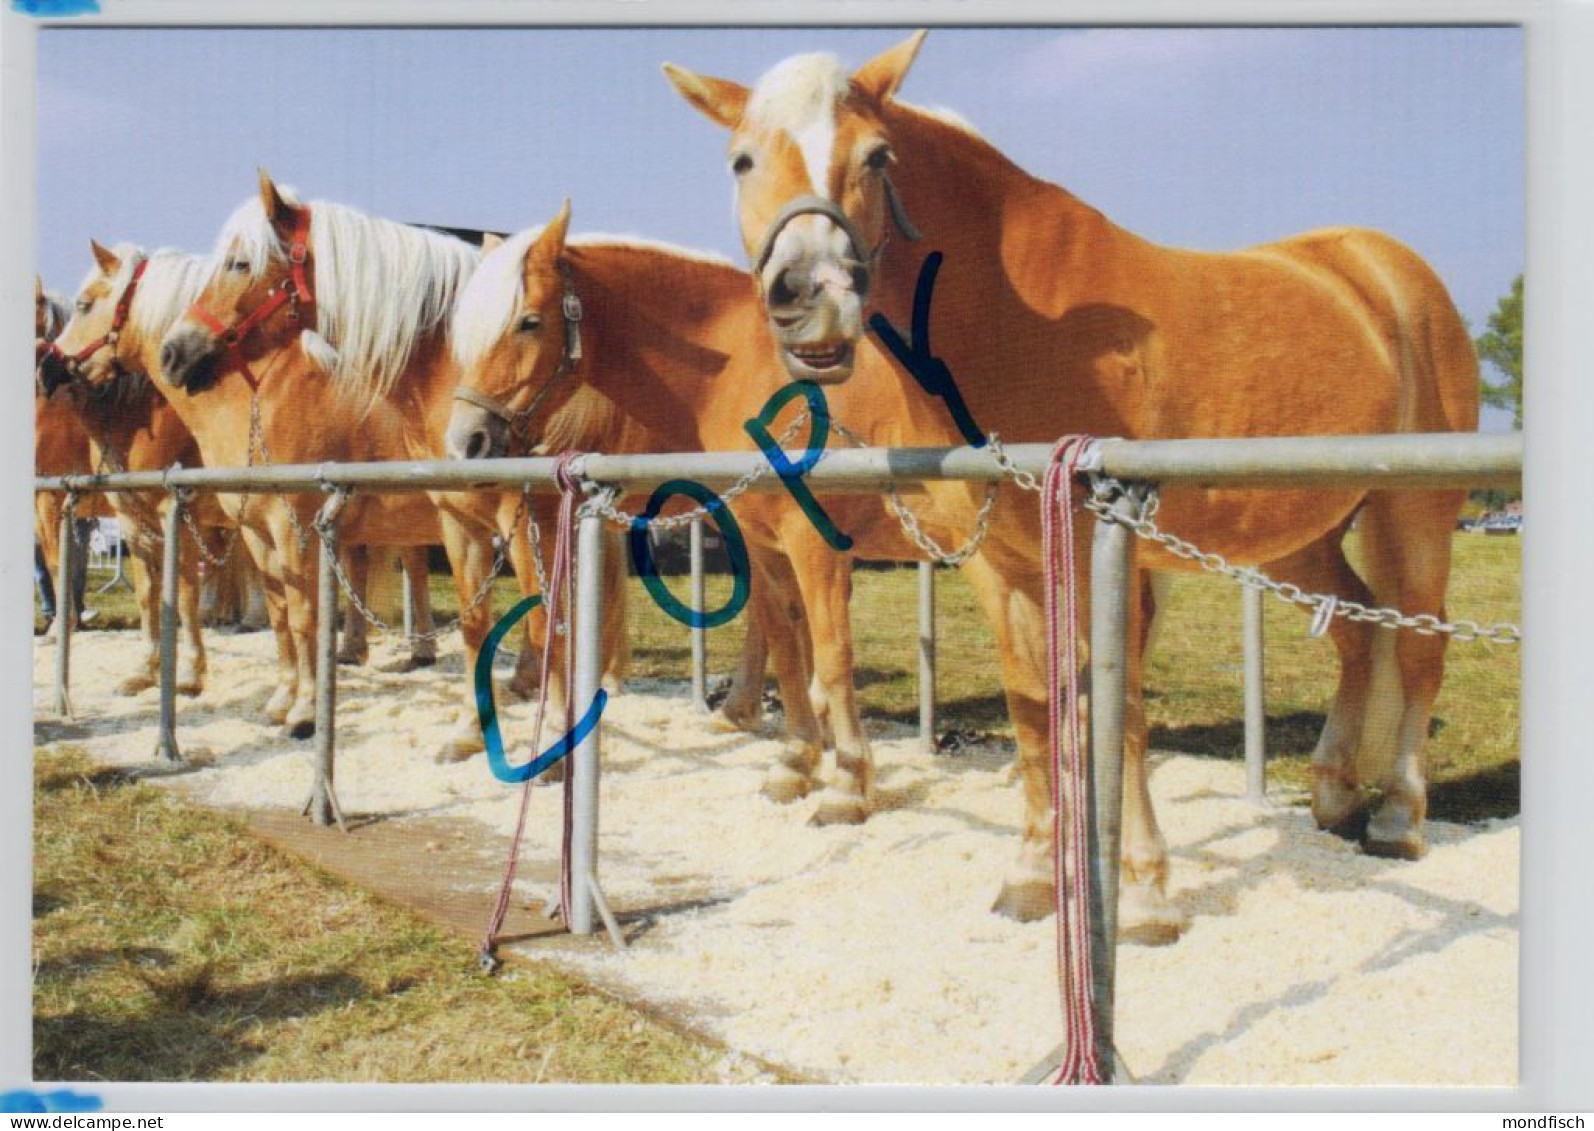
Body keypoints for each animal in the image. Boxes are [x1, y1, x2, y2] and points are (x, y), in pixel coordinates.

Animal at [659, 33, 1479, 930]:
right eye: (742, 160)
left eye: (878, 157)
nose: (813, 298)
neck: (1006, 324)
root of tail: (1385, 270)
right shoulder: (998, 563)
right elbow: (1034, 703)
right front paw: (1032, 873)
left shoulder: (1097, 549)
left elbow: (1115, 705)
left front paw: (1146, 891)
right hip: (1298, 532)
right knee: (1360, 633)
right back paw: (1332, 796)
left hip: (1414, 510)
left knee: (1422, 646)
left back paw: (1398, 816)